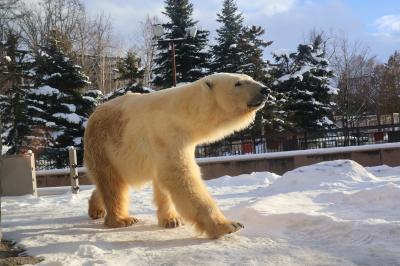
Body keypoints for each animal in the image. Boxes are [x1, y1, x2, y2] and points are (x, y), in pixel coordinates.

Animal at [83, 72, 268, 239]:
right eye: (238, 83)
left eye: (251, 78)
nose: (265, 89)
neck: (183, 112)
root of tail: (93, 115)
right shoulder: (166, 133)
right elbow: (181, 177)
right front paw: (228, 225)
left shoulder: (179, 142)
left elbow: (164, 181)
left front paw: (172, 220)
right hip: (104, 145)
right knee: (112, 182)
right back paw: (122, 220)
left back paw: (96, 209)